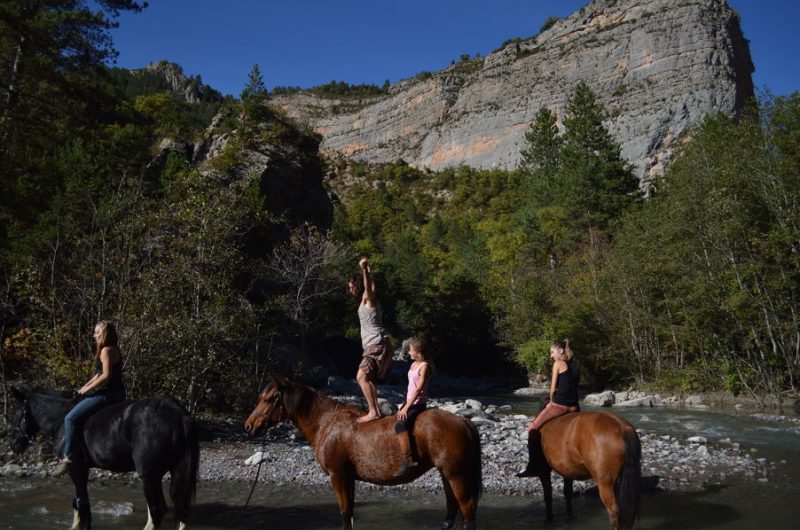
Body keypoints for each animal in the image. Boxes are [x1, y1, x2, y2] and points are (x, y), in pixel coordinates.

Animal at [10, 384, 198, 528]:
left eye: (18, 414)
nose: (14, 444)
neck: (61, 417)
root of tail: (178, 414)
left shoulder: (76, 467)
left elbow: (81, 502)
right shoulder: (83, 468)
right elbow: (80, 502)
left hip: (149, 475)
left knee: (157, 510)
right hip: (174, 471)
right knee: (179, 507)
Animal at [244, 376, 482, 528]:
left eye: (267, 399)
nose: (249, 425)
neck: (328, 422)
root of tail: (464, 421)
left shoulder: (338, 476)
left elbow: (344, 513)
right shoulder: (348, 478)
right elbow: (349, 513)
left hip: (456, 475)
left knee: (467, 510)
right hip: (447, 475)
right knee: (452, 510)